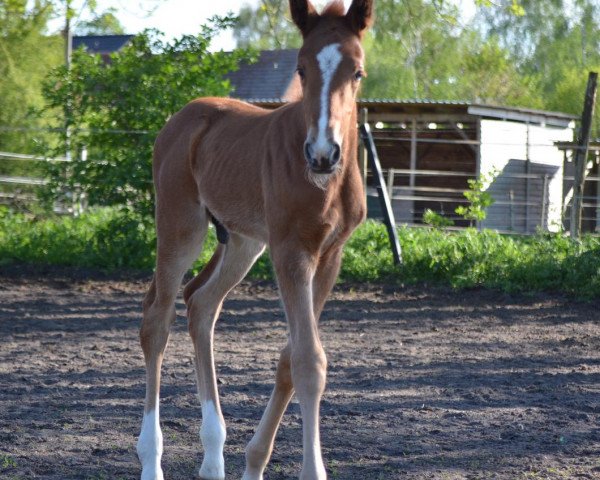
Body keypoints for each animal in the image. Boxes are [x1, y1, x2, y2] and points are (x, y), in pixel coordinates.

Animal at [137, 1, 372, 478]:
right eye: (301, 68)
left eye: (357, 71)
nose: (323, 155)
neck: (326, 183)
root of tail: (180, 119)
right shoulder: (291, 251)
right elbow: (308, 361)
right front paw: (311, 470)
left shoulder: (330, 254)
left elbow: (289, 358)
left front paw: (254, 462)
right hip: (181, 226)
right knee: (157, 319)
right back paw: (151, 460)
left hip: (243, 241)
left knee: (201, 303)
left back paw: (213, 457)